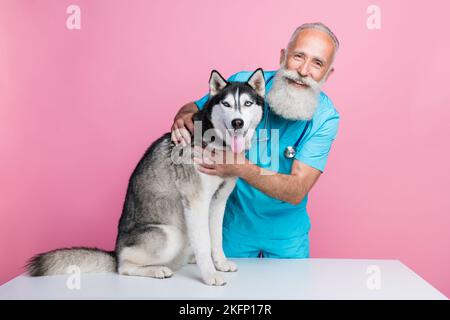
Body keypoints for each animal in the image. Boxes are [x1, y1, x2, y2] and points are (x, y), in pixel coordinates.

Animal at [26, 69, 266, 286]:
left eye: (247, 103)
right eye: (226, 104)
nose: (237, 122)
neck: (216, 141)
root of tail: (115, 251)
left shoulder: (218, 201)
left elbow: (215, 238)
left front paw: (221, 263)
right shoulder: (196, 202)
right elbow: (204, 243)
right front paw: (210, 275)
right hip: (170, 234)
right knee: (123, 267)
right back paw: (157, 269)